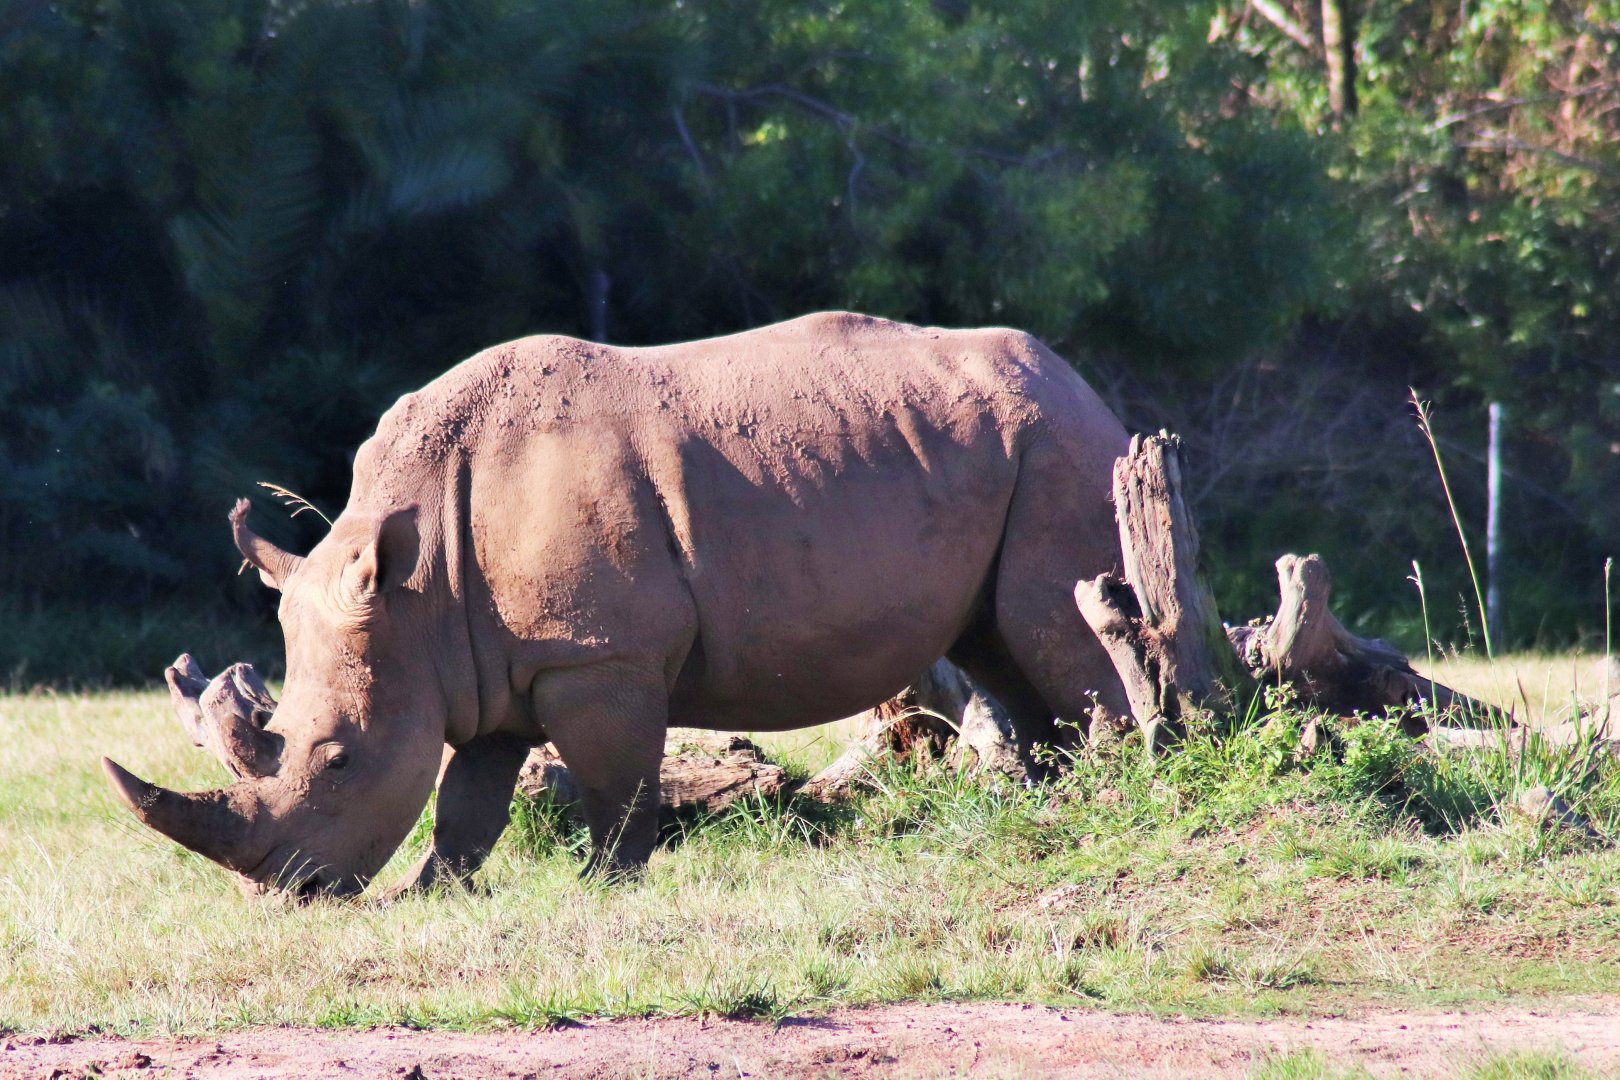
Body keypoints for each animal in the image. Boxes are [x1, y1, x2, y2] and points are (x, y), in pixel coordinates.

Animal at [104, 312, 1130, 898]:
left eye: (340, 759)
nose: (287, 893)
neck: (416, 587)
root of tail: (1082, 382)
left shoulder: (596, 653)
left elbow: (618, 781)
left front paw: (604, 886)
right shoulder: (480, 664)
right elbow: (466, 801)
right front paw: (433, 895)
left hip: (1058, 442)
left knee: (1053, 626)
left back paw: (1122, 787)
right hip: (990, 441)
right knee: (1001, 643)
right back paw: (1059, 798)